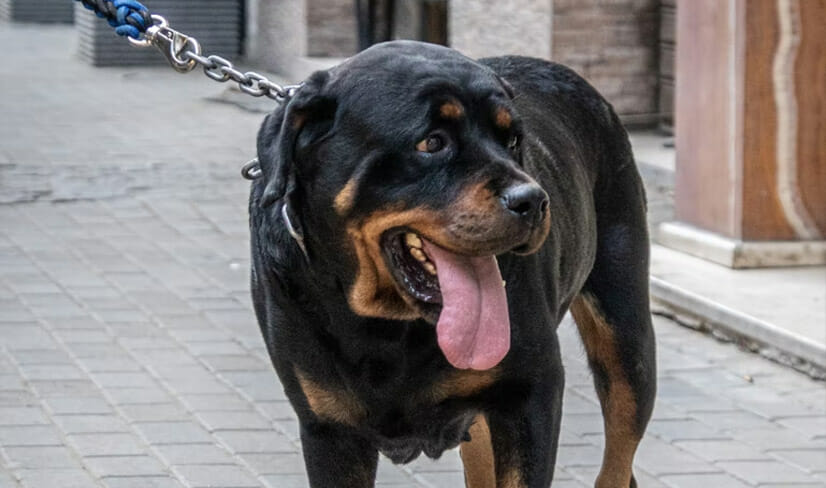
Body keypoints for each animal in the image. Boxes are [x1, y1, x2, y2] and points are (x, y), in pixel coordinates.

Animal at [248, 41, 652, 488]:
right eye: (432, 142)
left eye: (513, 140)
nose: (532, 200)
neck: (389, 328)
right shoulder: (328, 428)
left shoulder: (530, 393)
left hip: (626, 338)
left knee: (619, 452)